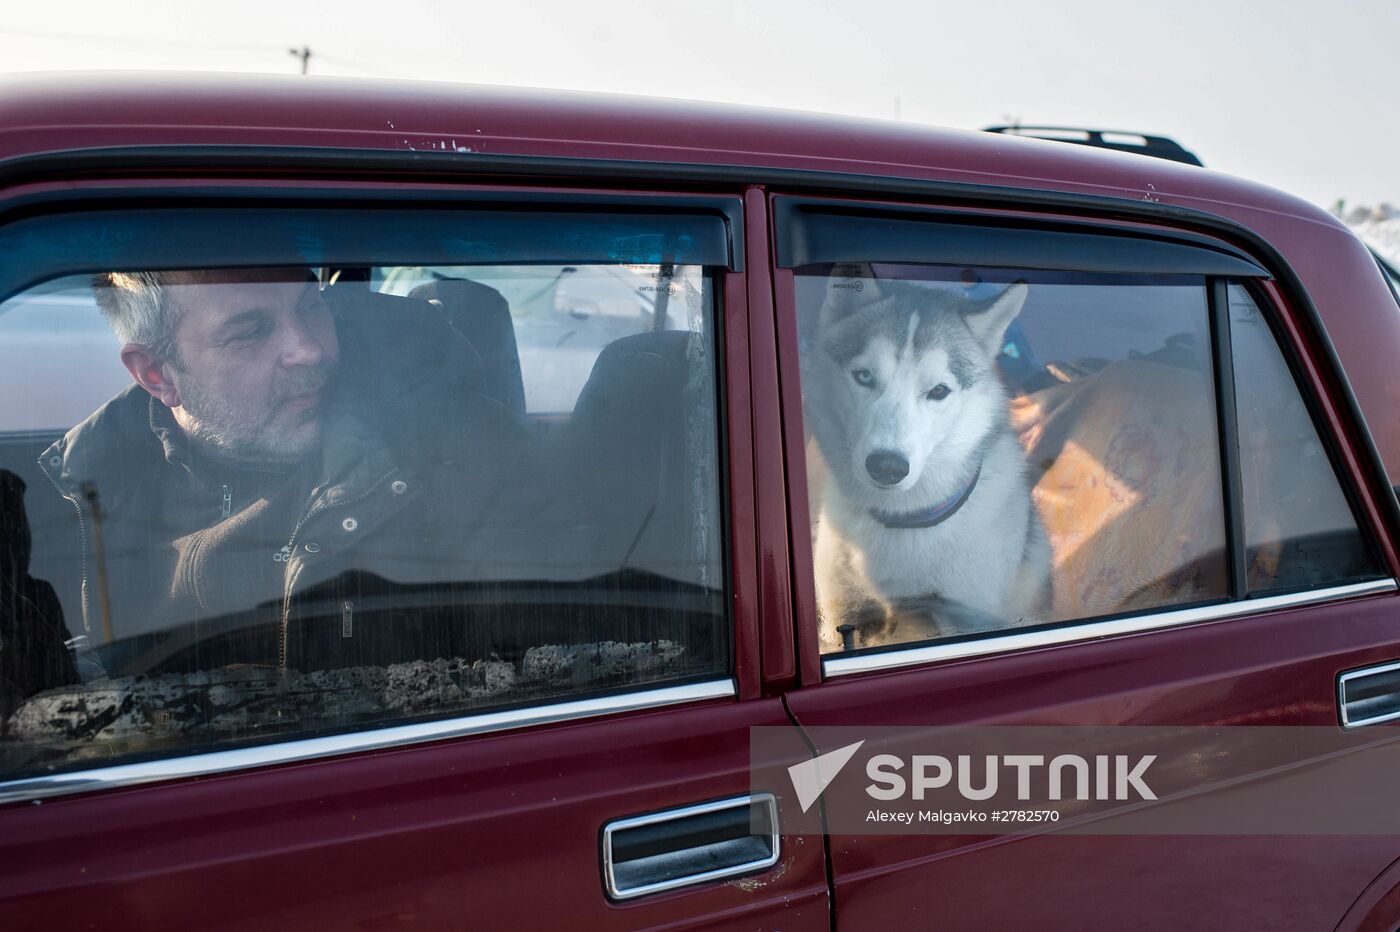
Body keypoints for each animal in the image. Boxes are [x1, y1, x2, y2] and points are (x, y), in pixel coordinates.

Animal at [800, 263, 1052, 646]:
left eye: (938, 391)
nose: (886, 466)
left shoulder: (968, 616)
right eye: (864, 376)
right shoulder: (842, 614)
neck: (903, 520)